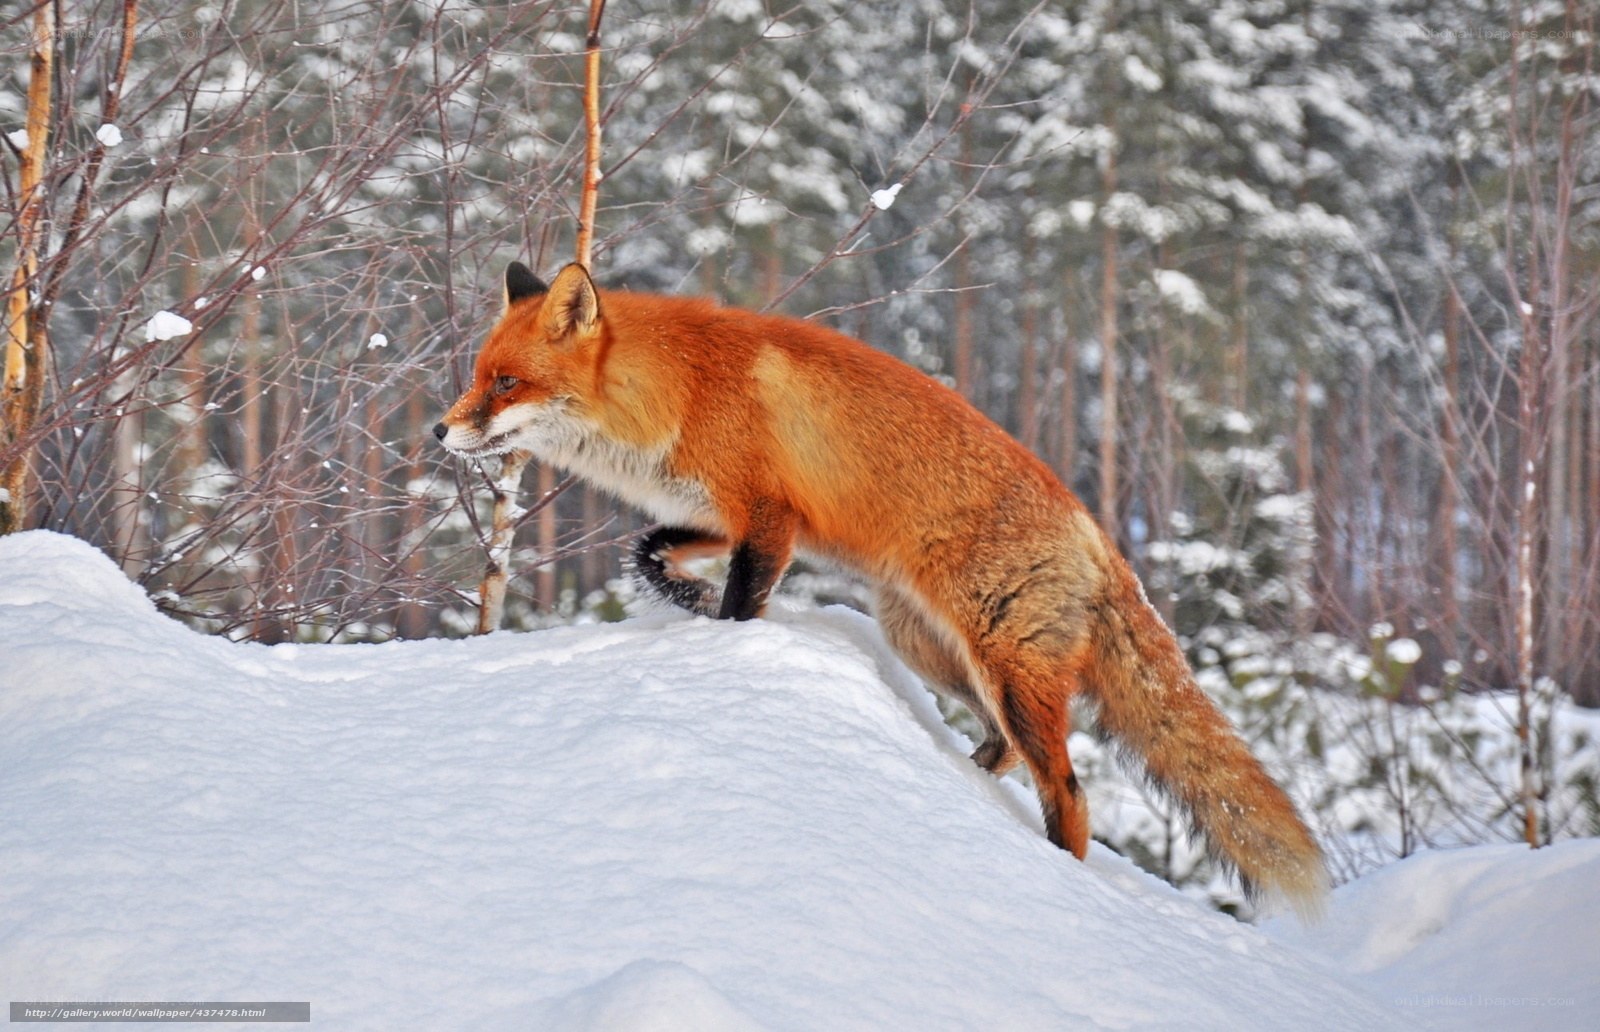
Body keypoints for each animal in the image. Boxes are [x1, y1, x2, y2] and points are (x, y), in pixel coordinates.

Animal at [435, 260, 1328, 914]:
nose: (439, 431)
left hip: (1004, 669)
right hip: (933, 650)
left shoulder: (769, 519)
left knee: (1069, 793)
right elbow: (646, 551)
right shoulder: (733, 516)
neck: (676, 390)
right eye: (478, 375)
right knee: (1004, 752)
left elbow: (740, 605)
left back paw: (1057, 878)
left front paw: (724, 641)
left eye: (505, 383)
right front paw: (683, 600)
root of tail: (1098, 535)